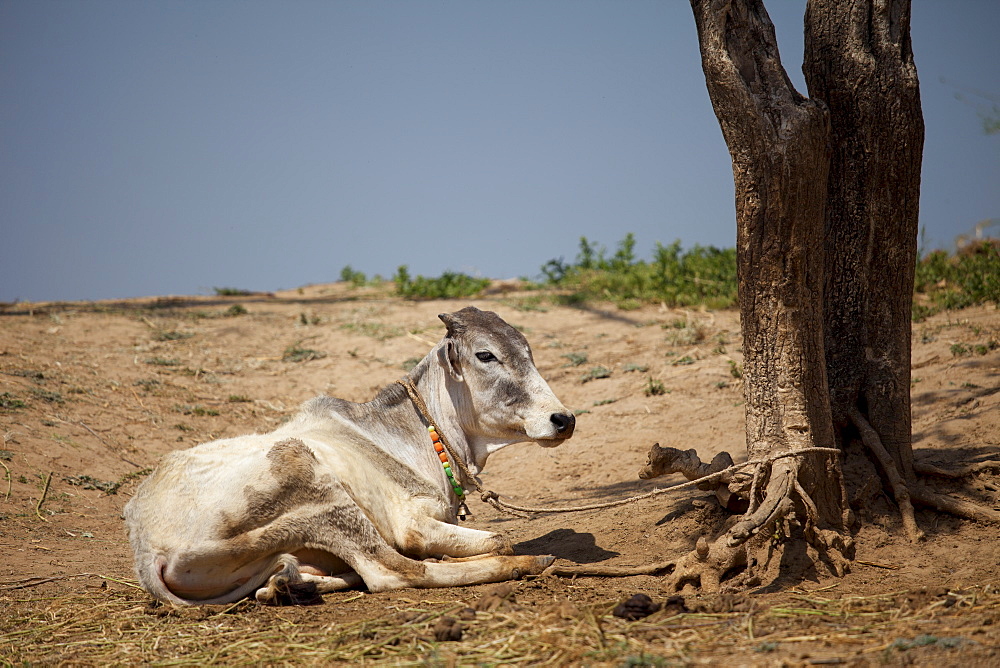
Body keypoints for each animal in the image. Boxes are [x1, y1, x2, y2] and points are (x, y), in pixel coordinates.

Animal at [123, 306, 580, 604]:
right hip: (313, 482)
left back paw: (290, 585)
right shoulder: (411, 524)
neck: (409, 435)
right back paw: (528, 562)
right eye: (486, 355)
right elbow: (499, 539)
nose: (563, 419)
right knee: (393, 572)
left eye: (529, 352)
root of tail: (146, 545)